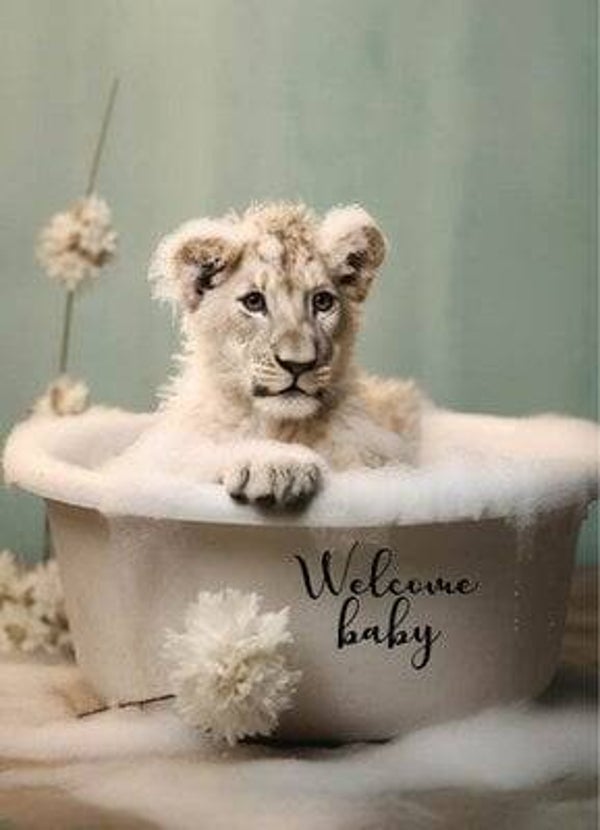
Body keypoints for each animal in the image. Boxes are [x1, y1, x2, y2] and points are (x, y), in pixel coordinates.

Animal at [147, 202, 423, 509]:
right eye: (254, 302)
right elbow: (198, 452)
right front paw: (276, 464)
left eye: (322, 302)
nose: (297, 365)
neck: (278, 426)